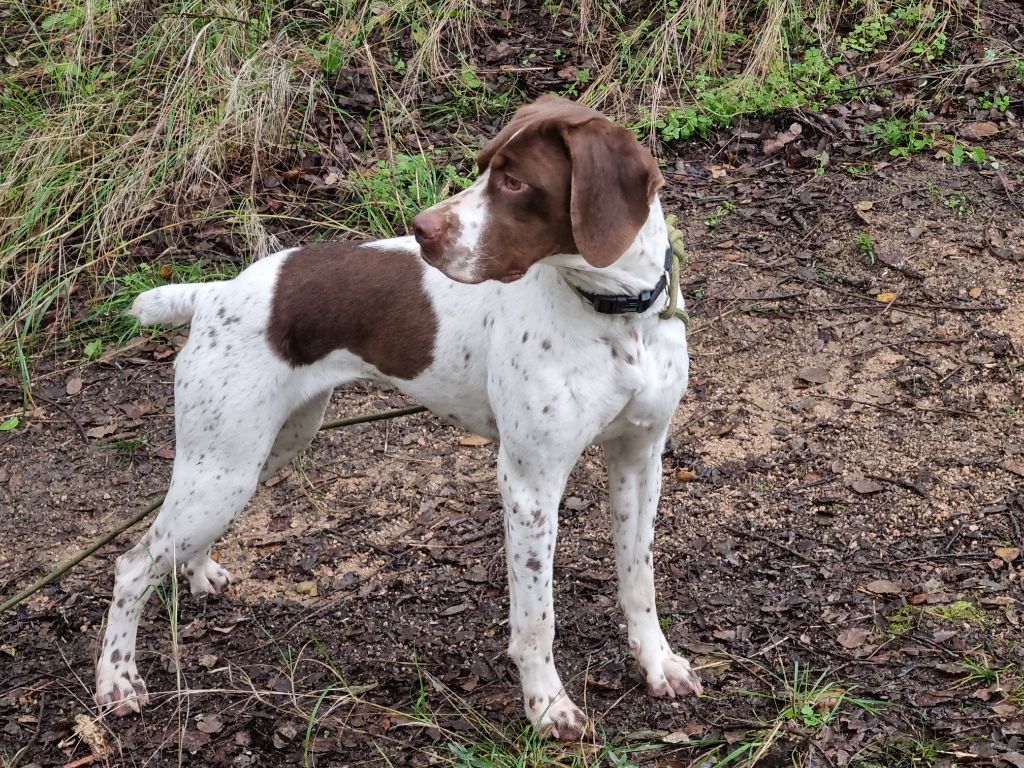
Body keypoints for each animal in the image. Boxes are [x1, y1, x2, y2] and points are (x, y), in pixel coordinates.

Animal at [96, 94, 700, 741]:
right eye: (484, 167)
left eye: (514, 182)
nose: (421, 228)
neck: (619, 318)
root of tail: (213, 294)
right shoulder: (529, 484)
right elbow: (536, 617)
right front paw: (548, 706)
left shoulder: (640, 458)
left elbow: (639, 579)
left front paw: (657, 664)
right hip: (222, 468)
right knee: (131, 567)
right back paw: (117, 681)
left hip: (260, 451)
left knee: (174, 545)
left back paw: (199, 572)